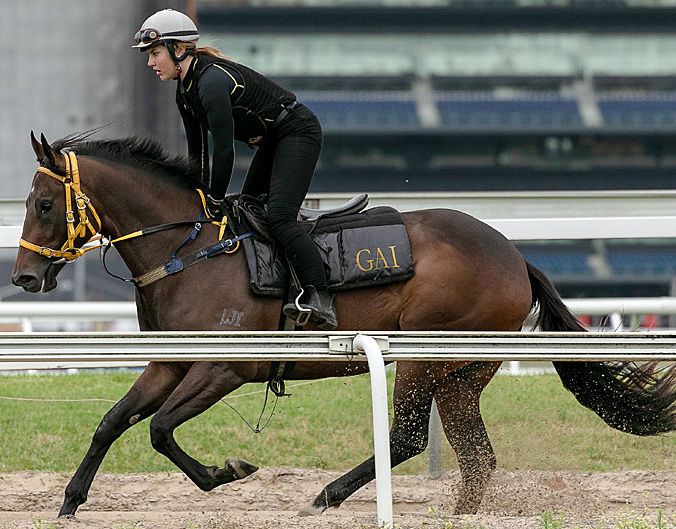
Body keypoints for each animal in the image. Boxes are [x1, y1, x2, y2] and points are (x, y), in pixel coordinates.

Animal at [13, 130, 676, 516]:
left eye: (44, 203)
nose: (23, 277)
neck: (191, 249)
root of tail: (515, 256)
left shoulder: (225, 365)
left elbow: (159, 429)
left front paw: (228, 471)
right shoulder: (169, 362)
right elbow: (113, 421)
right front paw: (70, 501)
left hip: (423, 357)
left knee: (406, 438)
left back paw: (328, 494)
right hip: (462, 372)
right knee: (476, 455)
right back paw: (460, 510)